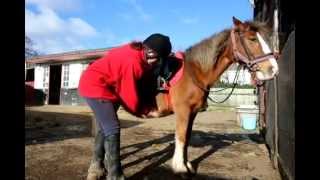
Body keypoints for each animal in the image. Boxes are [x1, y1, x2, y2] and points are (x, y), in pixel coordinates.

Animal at [146, 16, 278, 174]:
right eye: (252, 39)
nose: (273, 69)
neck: (194, 72)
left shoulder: (193, 112)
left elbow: (187, 137)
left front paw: (187, 164)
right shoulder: (183, 111)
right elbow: (181, 136)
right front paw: (180, 168)